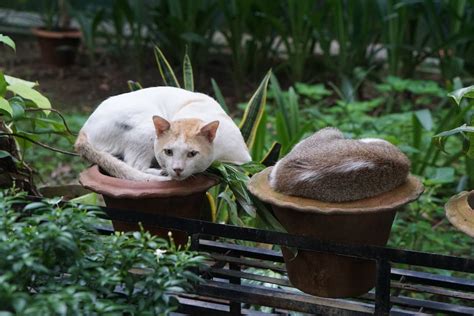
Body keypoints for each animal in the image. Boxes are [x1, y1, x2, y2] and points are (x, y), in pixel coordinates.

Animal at [75, 86, 252, 181]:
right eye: (169, 152)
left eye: (192, 154)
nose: (177, 169)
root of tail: (84, 129)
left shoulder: (244, 160)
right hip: (146, 126)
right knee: (134, 166)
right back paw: (160, 172)